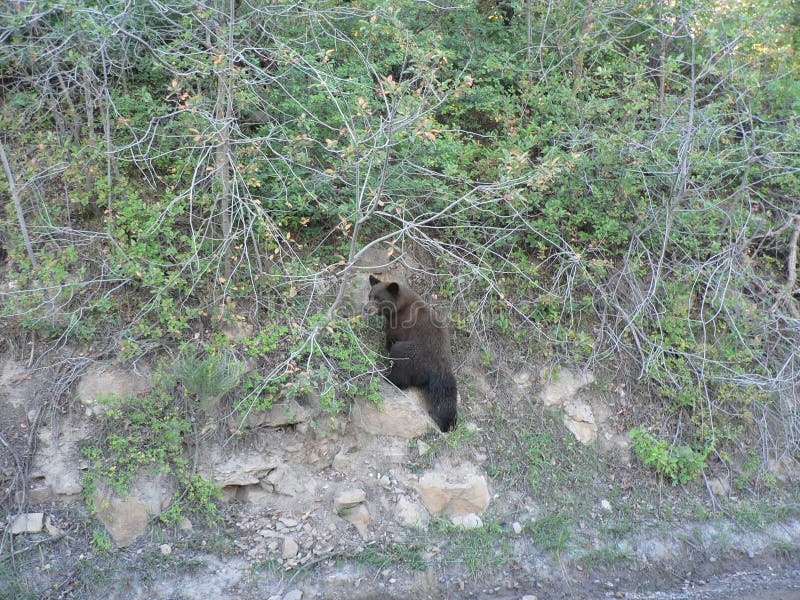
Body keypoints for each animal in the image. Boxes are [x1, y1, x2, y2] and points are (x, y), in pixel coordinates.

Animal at [363, 274, 458, 432]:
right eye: (370, 296)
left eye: (379, 299)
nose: (366, 309)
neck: (400, 307)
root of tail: (438, 370)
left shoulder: (401, 325)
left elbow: (391, 338)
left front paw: (385, 349)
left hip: (411, 356)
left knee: (401, 370)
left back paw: (388, 377)